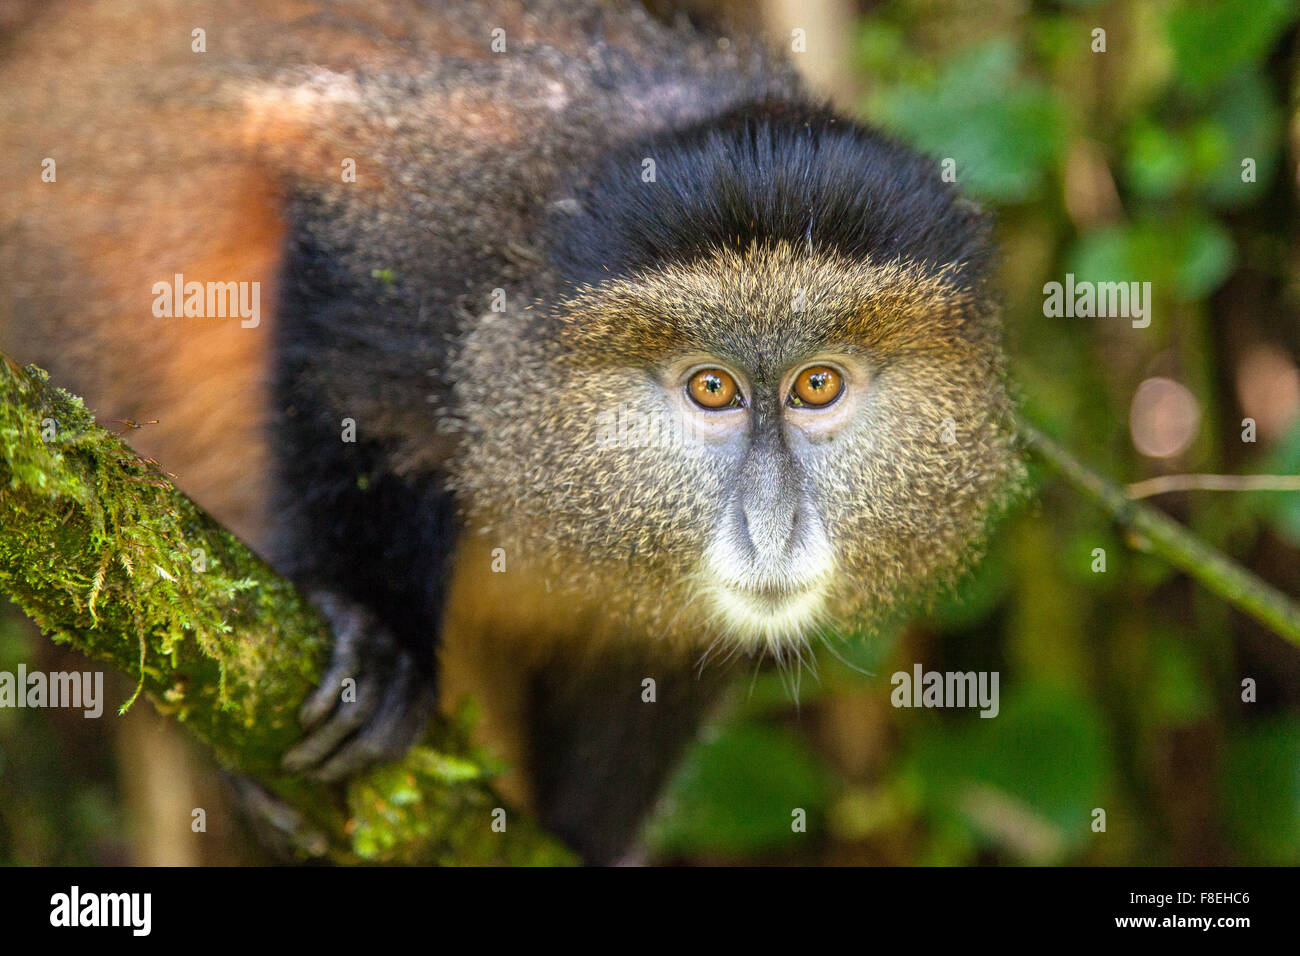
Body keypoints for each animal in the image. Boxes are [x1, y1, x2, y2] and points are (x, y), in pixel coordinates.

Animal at [0, 0, 1021, 864]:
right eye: (712, 389)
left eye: (817, 385)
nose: (772, 527)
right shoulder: (433, 260)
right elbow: (348, 369)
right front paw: (378, 635)